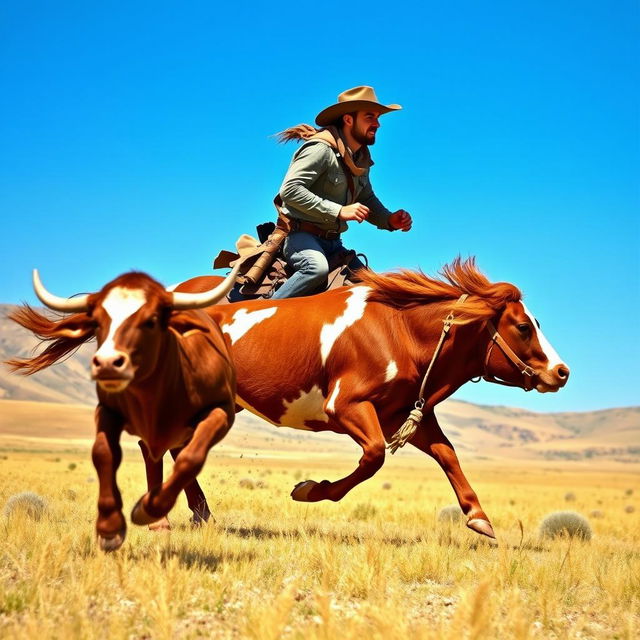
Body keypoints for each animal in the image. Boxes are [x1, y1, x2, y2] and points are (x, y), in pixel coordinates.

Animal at [6, 264, 241, 552]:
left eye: (151, 320)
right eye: (96, 321)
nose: (108, 363)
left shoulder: (221, 411)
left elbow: (191, 458)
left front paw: (146, 510)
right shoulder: (108, 410)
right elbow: (103, 453)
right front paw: (109, 528)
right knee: (151, 452)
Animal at [159, 258, 568, 536]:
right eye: (523, 326)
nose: (561, 371)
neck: (399, 330)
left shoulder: (401, 414)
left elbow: (447, 454)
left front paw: (478, 517)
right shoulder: (346, 407)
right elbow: (373, 457)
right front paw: (309, 490)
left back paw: (200, 513)